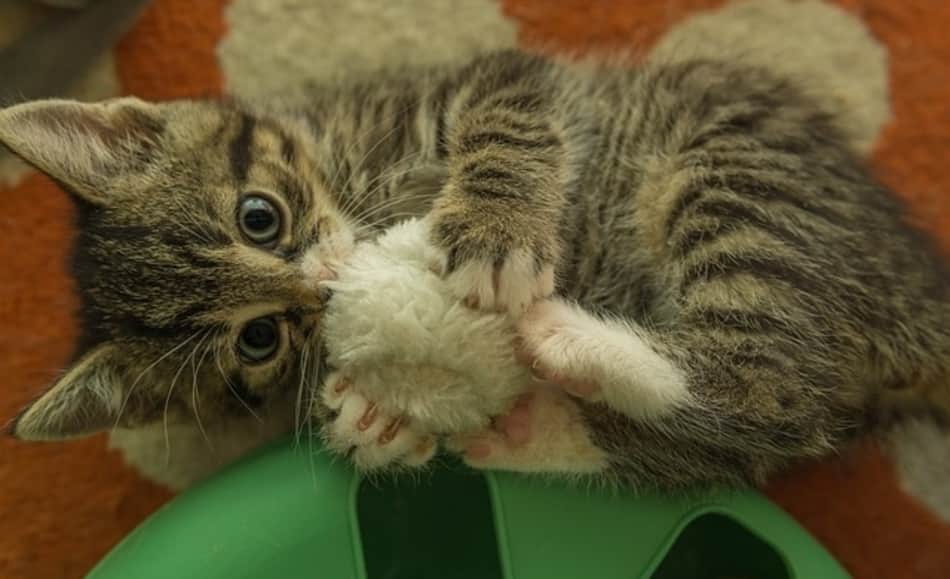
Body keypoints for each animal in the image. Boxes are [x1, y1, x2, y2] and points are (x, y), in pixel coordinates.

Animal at [1, 51, 950, 490]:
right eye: (260, 339)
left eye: (258, 217)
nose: (326, 284)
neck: (347, 162)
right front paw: (370, 423)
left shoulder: (500, 77)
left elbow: (509, 114)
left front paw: (496, 232)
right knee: (766, 430)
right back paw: (539, 420)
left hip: (732, 174)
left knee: (775, 390)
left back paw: (563, 338)